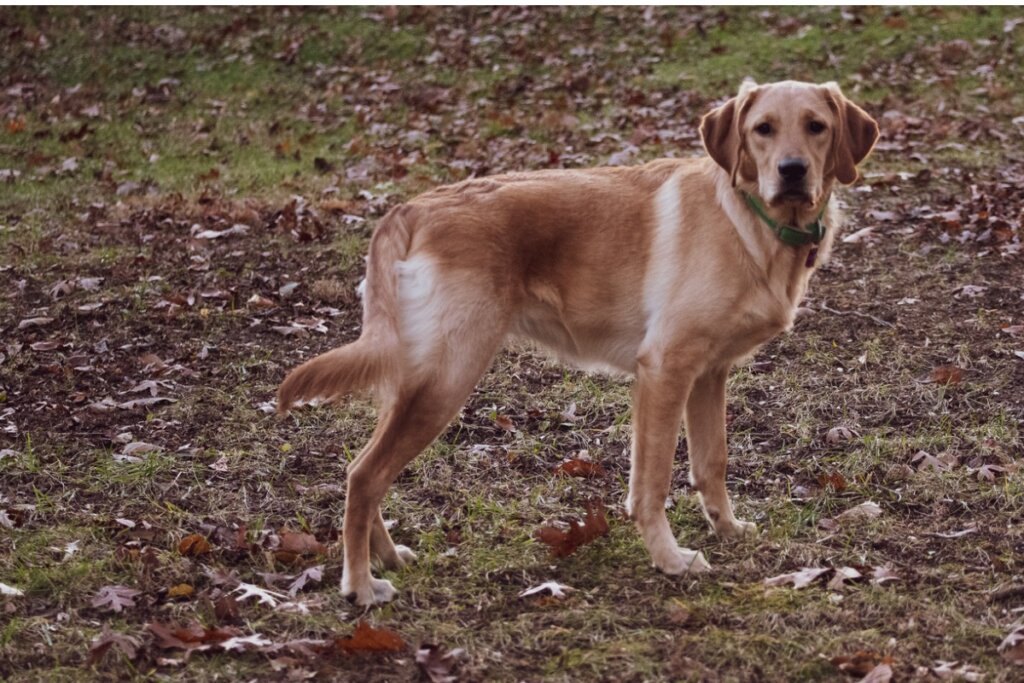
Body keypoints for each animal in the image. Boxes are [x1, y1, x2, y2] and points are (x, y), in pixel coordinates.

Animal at [276, 77, 876, 606]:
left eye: (816, 127)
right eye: (762, 129)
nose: (793, 171)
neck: (748, 220)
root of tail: (414, 207)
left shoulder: (709, 373)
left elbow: (713, 463)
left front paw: (726, 529)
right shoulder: (665, 370)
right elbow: (651, 484)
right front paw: (670, 560)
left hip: (418, 379)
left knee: (366, 469)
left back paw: (386, 556)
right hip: (447, 378)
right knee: (364, 475)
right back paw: (359, 585)